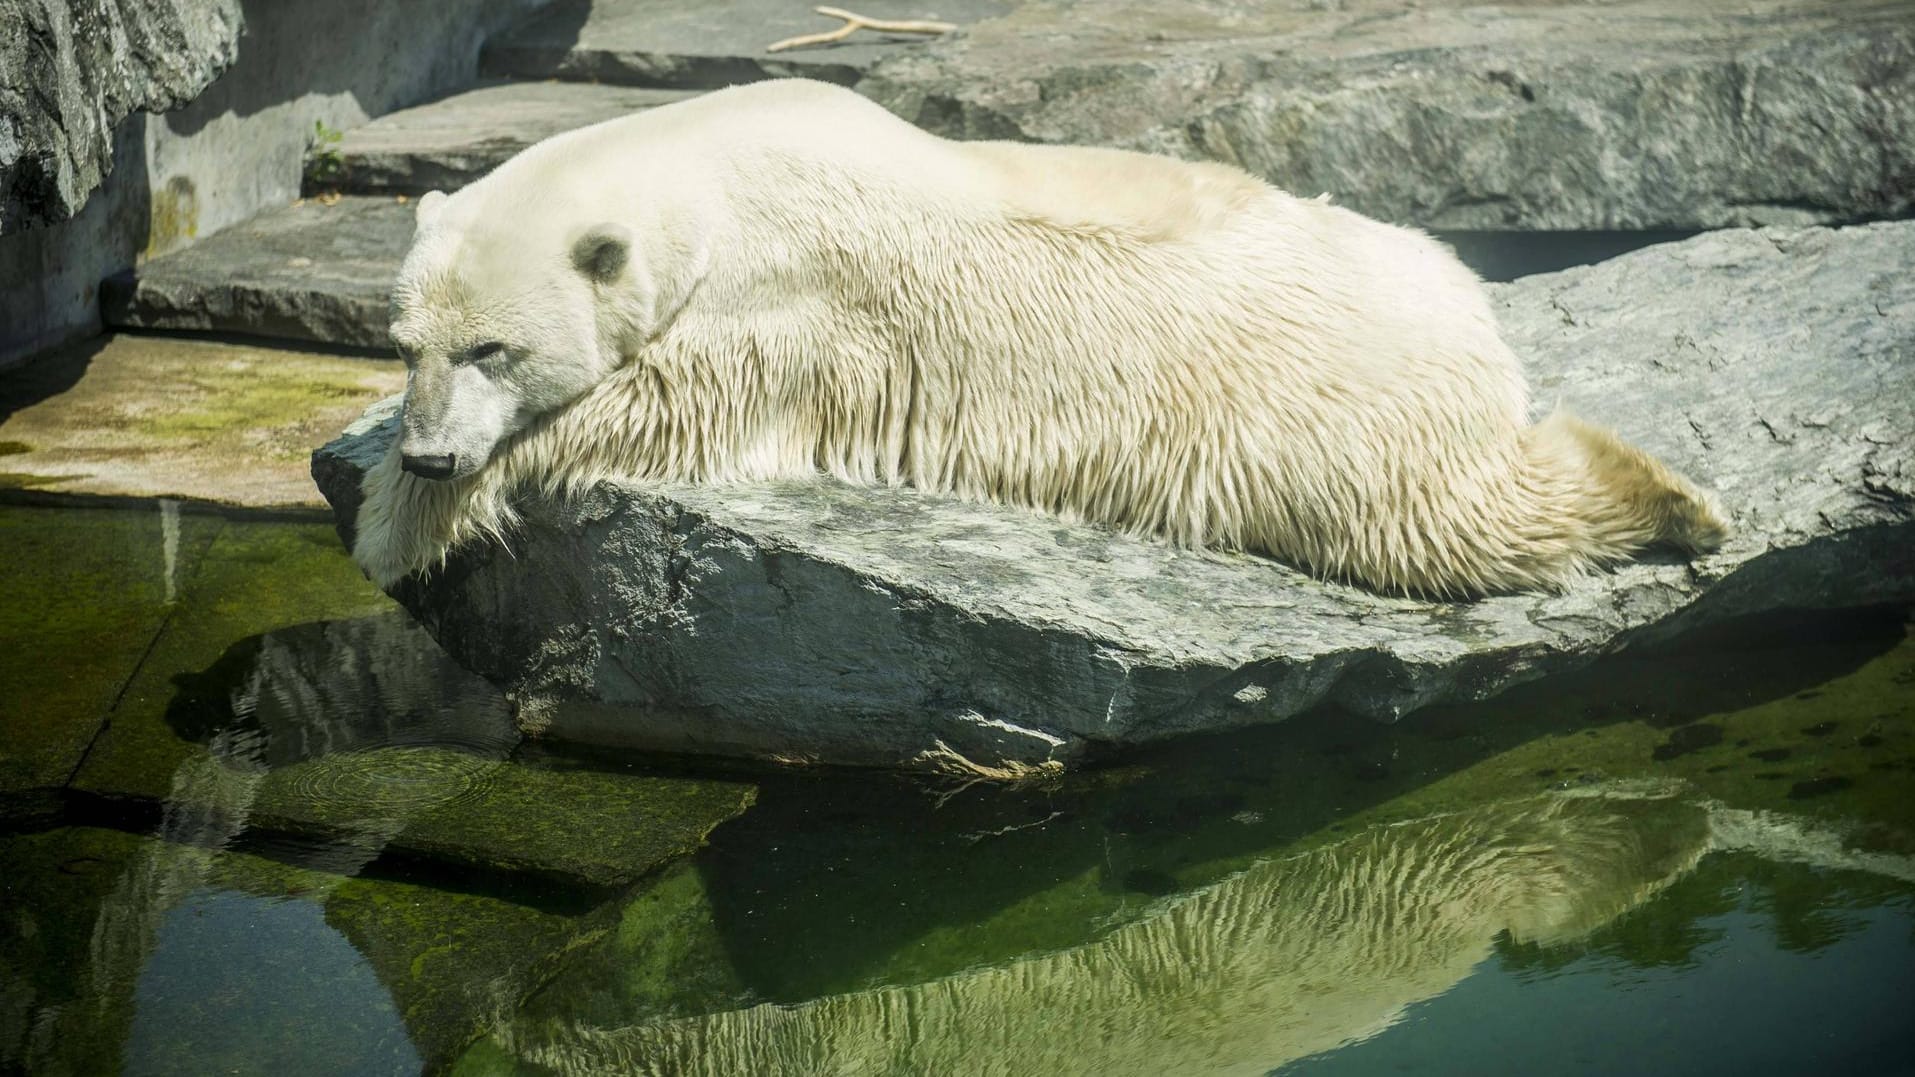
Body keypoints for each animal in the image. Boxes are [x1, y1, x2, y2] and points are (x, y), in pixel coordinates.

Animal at [352, 75, 1731, 594]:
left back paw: (1675, 500)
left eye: (494, 352)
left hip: (1332, 411)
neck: (714, 162)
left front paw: (395, 523)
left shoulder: (798, 303)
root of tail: (1462, 296)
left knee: (1441, 522)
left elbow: (665, 400)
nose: (428, 451)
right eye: (405, 344)